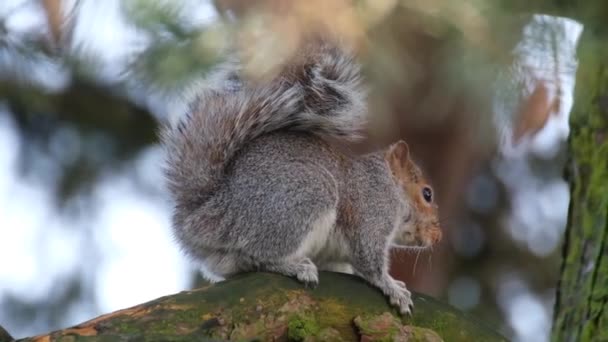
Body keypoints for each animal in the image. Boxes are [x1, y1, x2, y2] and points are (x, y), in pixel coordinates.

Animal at [160, 35, 442, 316]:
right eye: (427, 194)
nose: (438, 236)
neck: (388, 185)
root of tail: (205, 213)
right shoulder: (371, 211)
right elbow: (369, 258)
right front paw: (393, 287)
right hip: (303, 199)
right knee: (259, 255)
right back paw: (294, 266)